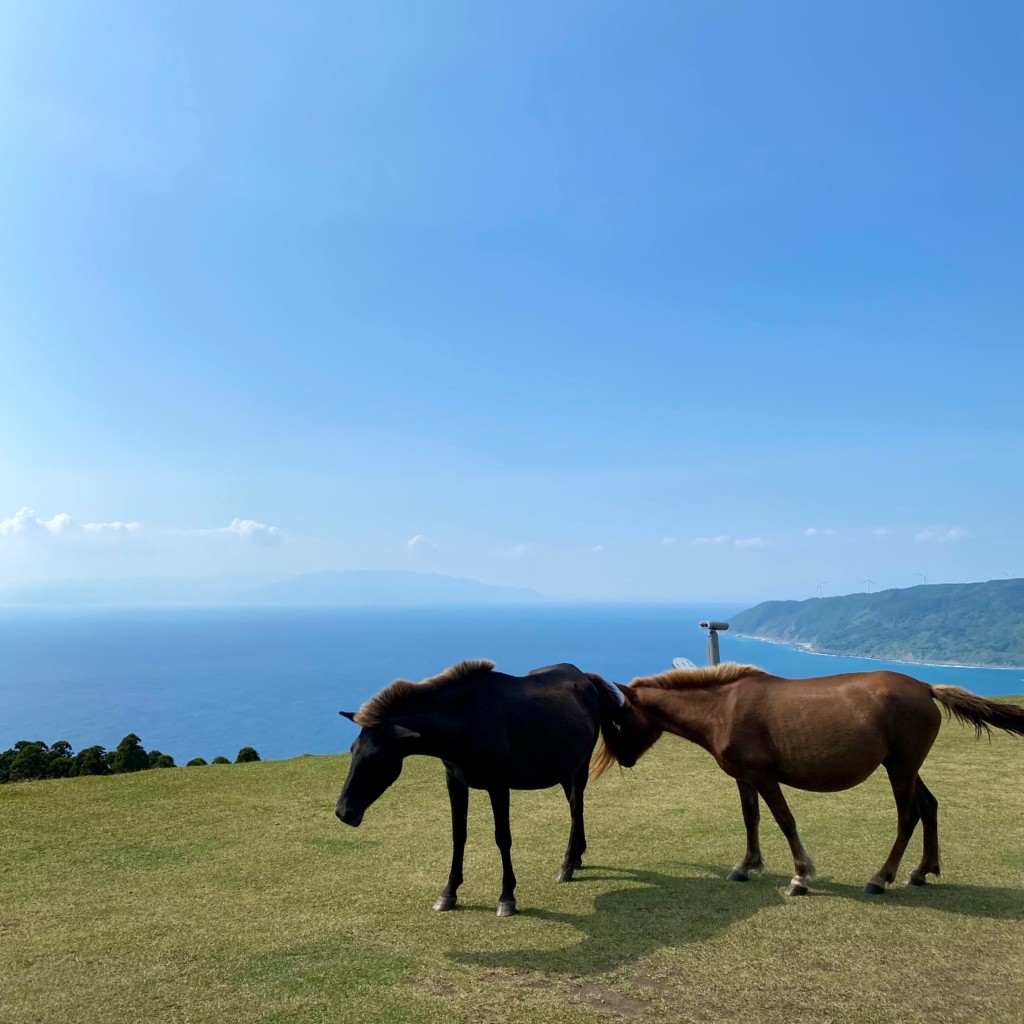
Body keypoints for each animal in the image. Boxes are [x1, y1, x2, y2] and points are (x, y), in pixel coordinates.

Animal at [339, 659, 618, 917]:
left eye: (377, 759)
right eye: (352, 750)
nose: (344, 812)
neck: (466, 719)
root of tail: (585, 678)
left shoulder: (498, 786)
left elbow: (502, 837)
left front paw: (507, 897)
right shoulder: (455, 782)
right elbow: (458, 835)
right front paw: (448, 893)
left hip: (580, 765)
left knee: (576, 808)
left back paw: (567, 864)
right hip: (563, 767)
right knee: (574, 805)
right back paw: (578, 856)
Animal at [593, 663, 1024, 897]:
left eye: (618, 719)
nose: (624, 759)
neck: (722, 707)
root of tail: (925, 687)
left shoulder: (764, 775)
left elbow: (785, 821)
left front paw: (800, 875)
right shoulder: (744, 778)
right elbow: (751, 820)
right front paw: (747, 865)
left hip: (900, 768)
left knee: (908, 817)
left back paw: (881, 877)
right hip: (906, 766)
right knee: (929, 807)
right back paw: (921, 871)